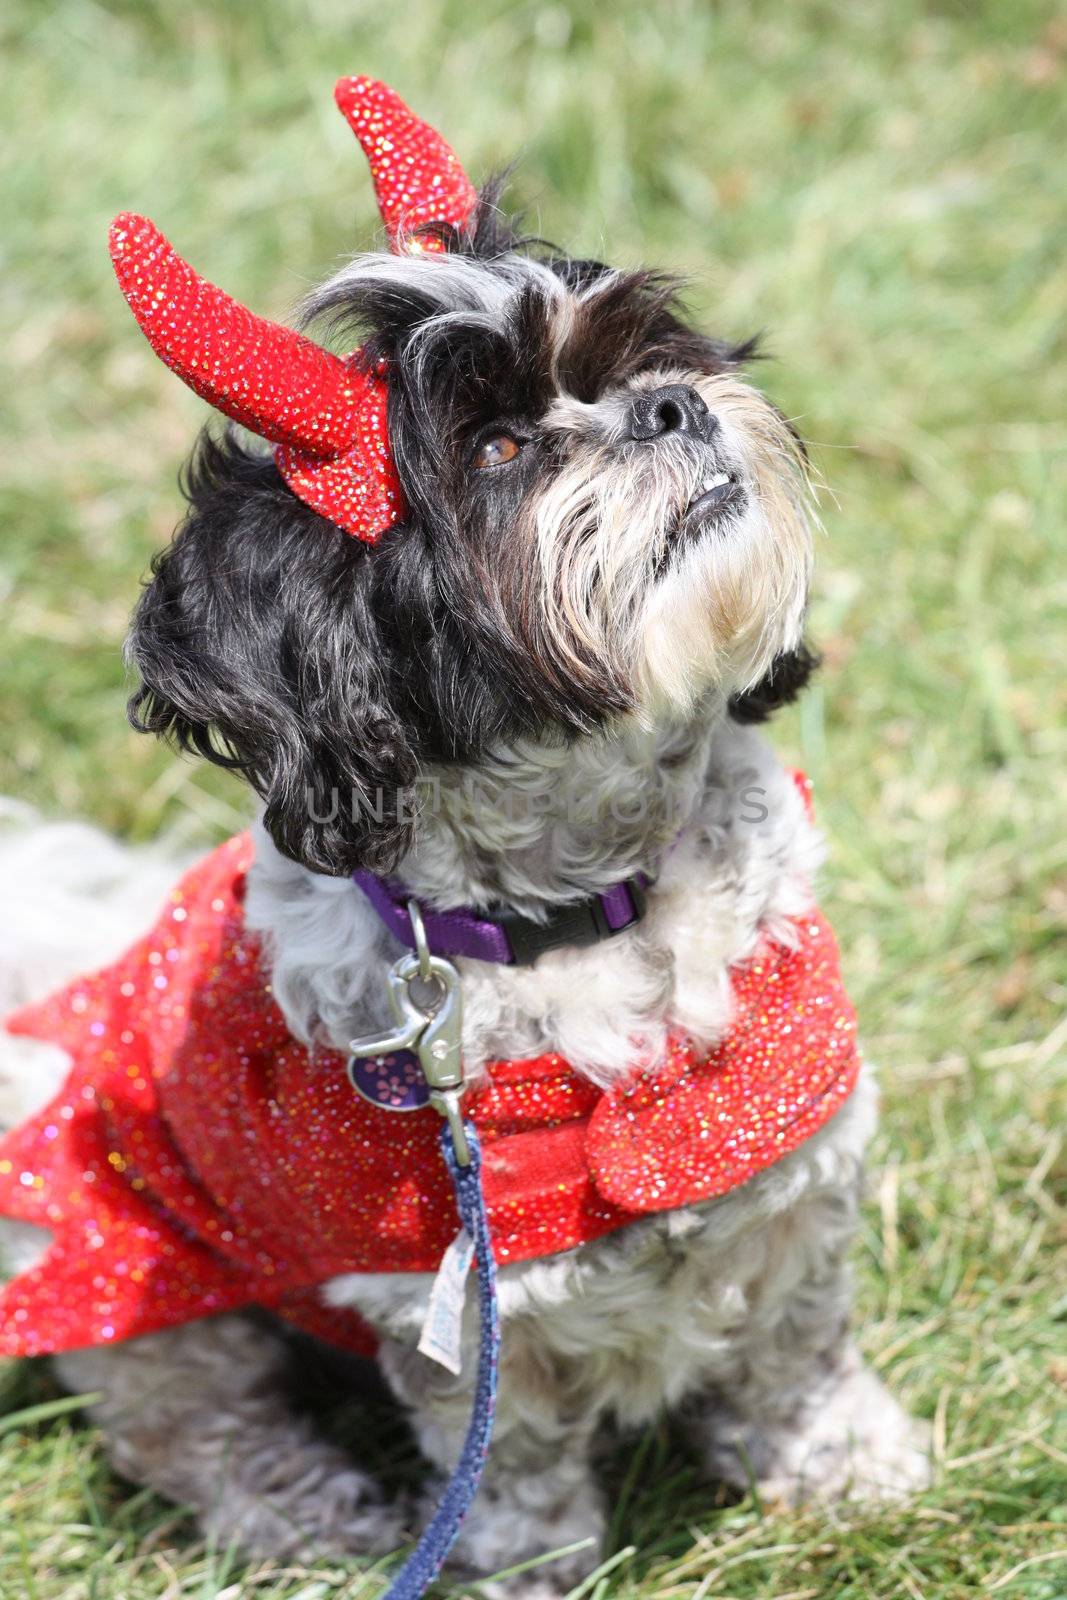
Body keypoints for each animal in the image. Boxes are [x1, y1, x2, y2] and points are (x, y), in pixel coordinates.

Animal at [0, 75, 927, 1587]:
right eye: (497, 449)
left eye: (638, 359)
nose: (671, 405)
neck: (587, 904)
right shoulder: (450, 1308)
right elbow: (514, 1455)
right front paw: (529, 1568)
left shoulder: (798, 1169)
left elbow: (797, 1344)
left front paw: (846, 1466)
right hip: (124, 1257)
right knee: (184, 1417)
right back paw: (305, 1508)